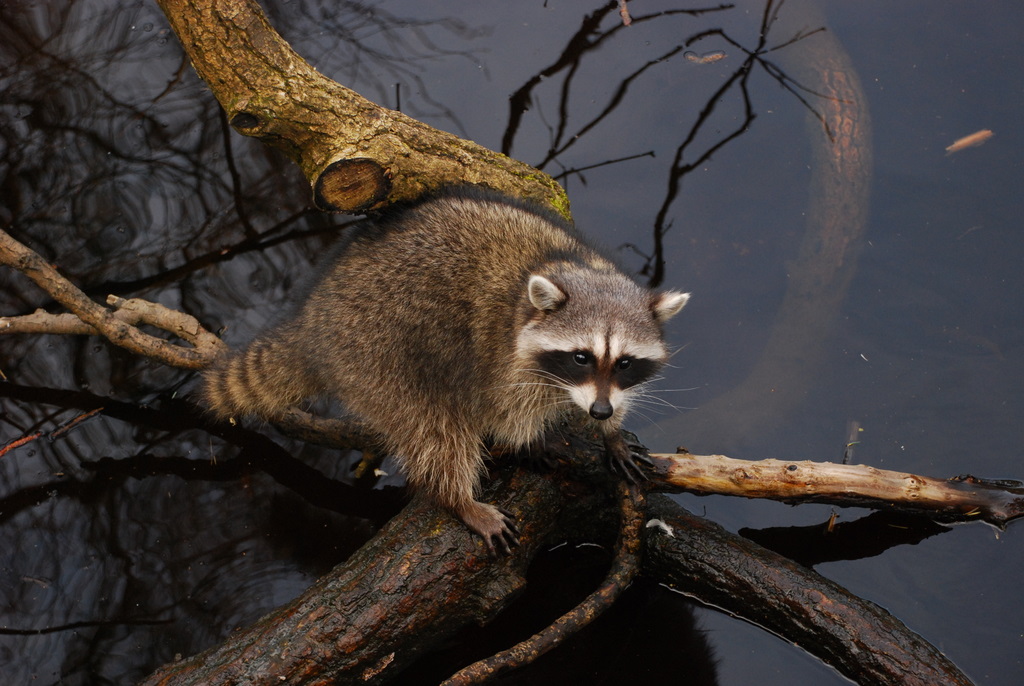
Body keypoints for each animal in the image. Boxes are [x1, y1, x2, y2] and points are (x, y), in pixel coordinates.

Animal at [203, 188, 689, 555]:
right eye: (581, 357)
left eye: (624, 362)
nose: (601, 412)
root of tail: (312, 319)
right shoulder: (495, 351)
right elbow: (502, 410)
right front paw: (534, 438)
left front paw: (610, 432)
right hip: (376, 353)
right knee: (435, 429)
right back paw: (456, 496)